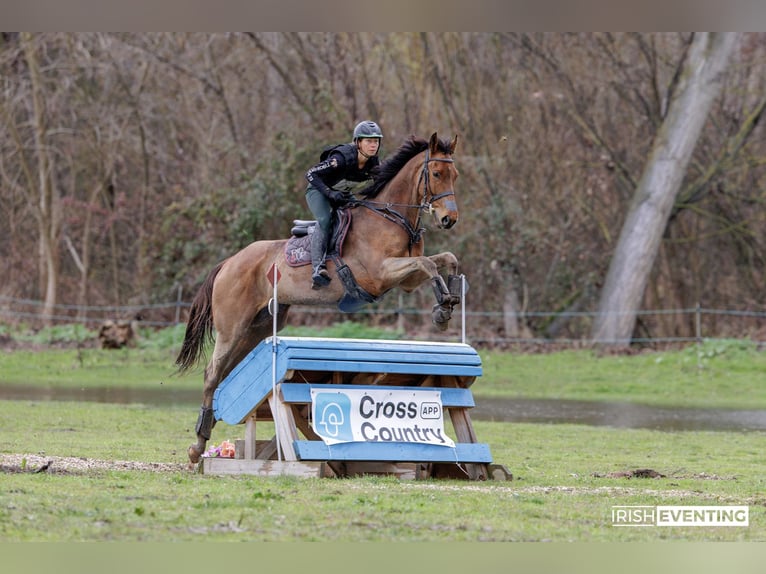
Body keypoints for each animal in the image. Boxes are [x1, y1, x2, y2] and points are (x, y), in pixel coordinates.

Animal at [175, 132, 464, 464]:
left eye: (455, 175)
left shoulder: (406, 281)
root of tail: (228, 262)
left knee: (224, 371)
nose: (449, 219)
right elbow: (428, 264)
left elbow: (445, 259)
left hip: (258, 327)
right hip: (232, 326)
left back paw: (205, 432)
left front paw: (449, 301)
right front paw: (443, 309)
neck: (391, 218)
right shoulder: (381, 273)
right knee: (212, 372)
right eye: (437, 174)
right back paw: (198, 445)